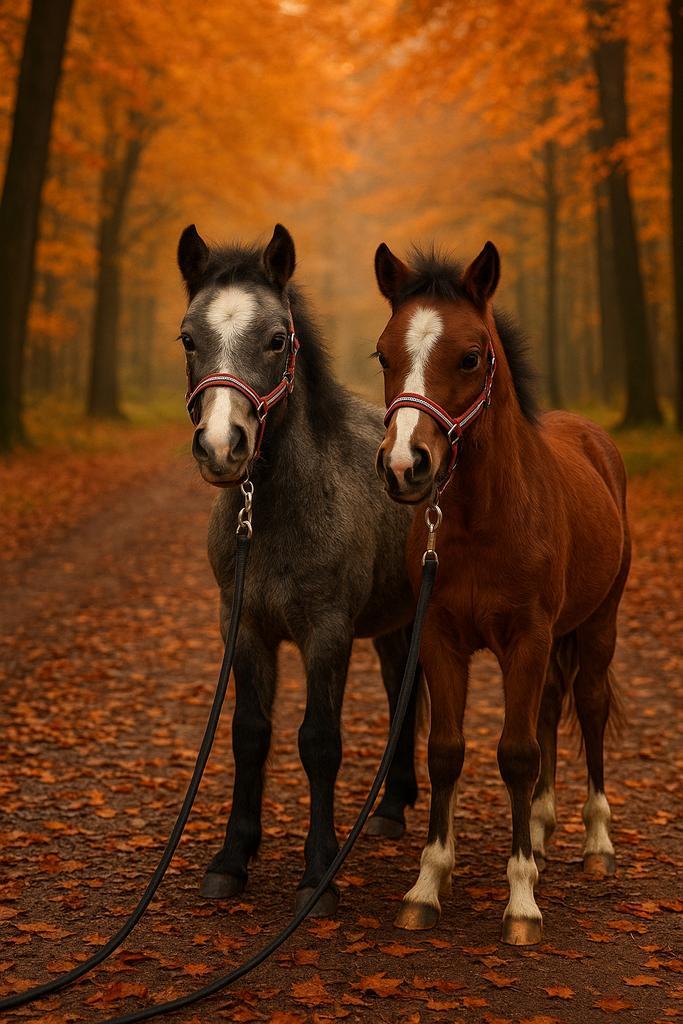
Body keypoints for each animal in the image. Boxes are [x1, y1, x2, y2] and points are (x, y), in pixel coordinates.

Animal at [176, 222, 420, 916]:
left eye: (277, 339)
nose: (222, 447)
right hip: (392, 622)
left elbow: (319, 742)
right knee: (401, 687)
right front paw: (232, 858)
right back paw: (391, 807)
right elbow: (249, 733)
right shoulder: (243, 628)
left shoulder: (327, 633)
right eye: (188, 338)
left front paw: (319, 874)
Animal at [372, 239, 630, 945]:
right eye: (383, 354)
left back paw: (595, 844)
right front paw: (428, 885)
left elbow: (515, 754)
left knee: (588, 708)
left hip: (597, 626)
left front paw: (520, 902)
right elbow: (446, 752)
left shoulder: (527, 639)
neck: (483, 519)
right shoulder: (440, 639)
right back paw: (538, 831)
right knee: (549, 706)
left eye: (470, 356)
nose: (405, 466)